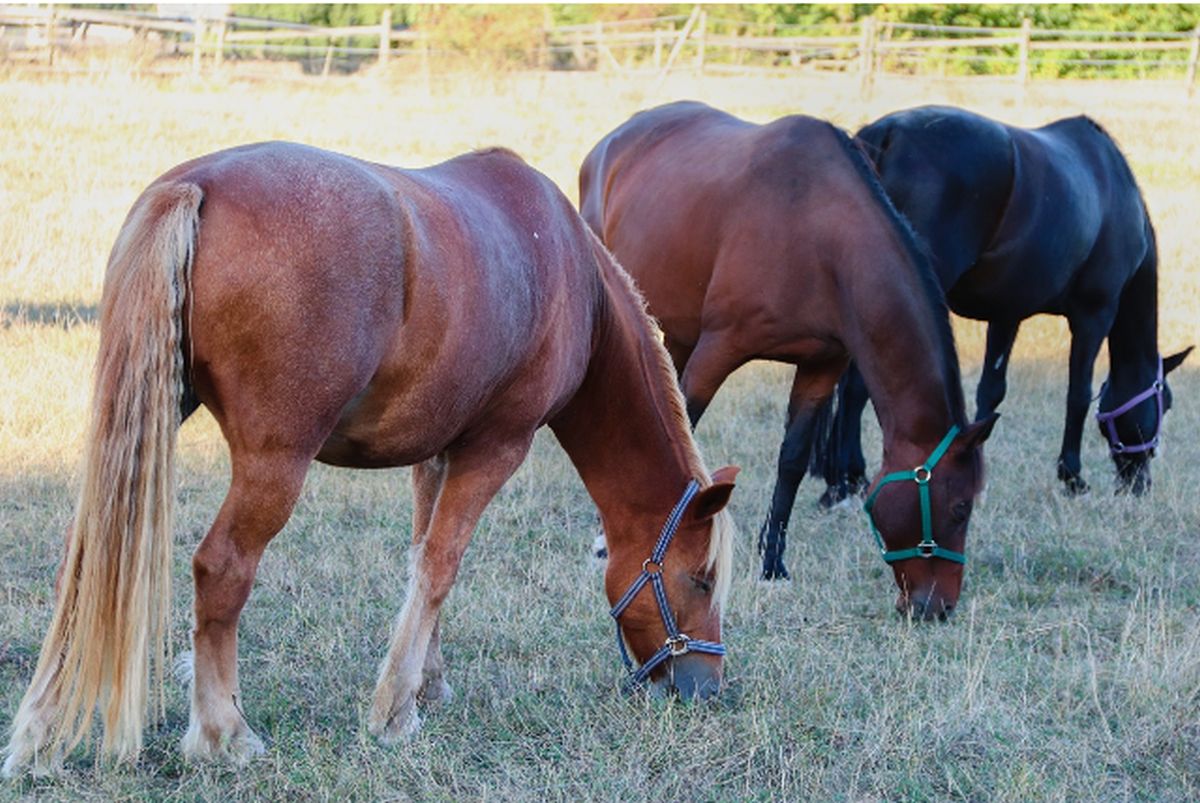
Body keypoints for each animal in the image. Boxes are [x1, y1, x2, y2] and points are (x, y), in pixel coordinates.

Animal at [2, 141, 739, 772]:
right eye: (700, 581)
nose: (706, 688)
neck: (570, 274)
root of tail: (198, 184)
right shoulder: (496, 447)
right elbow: (441, 566)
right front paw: (393, 712)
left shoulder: (439, 453)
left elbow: (423, 560)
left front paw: (424, 685)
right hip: (275, 465)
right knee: (221, 569)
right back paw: (223, 733)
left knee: (87, 553)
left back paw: (40, 733)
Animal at [576, 102, 998, 607]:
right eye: (959, 508)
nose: (937, 606)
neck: (818, 235)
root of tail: (613, 139)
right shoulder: (718, 349)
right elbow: (685, 432)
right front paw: (616, 543)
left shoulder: (822, 366)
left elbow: (792, 461)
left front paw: (772, 562)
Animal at [816, 104, 1190, 504]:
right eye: (1165, 403)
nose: (1139, 484)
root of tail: (885, 135)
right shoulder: (1094, 316)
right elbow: (1078, 395)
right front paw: (1072, 476)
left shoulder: (1007, 313)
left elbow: (990, 392)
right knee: (858, 384)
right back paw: (848, 479)